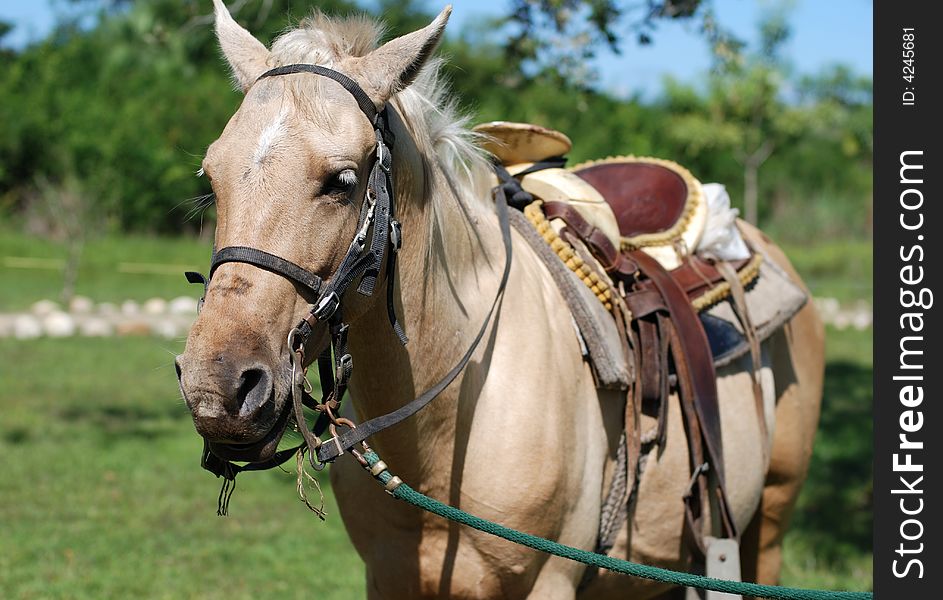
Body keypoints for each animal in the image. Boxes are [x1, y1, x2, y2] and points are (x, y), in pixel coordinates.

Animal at [173, 2, 824, 596]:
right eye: (212, 178)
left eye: (343, 181)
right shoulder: (389, 577)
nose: (217, 387)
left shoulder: (549, 583)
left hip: (768, 521)